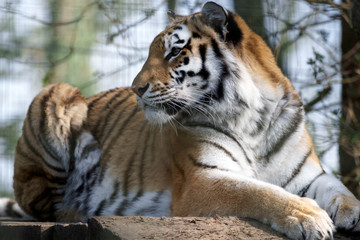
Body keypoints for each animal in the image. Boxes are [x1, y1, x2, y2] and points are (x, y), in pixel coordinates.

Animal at [7, 1, 358, 240]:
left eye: (174, 52)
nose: (135, 88)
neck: (253, 120)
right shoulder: (202, 178)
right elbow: (257, 192)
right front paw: (309, 216)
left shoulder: (307, 175)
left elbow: (337, 187)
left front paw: (351, 211)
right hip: (57, 95)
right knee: (50, 206)